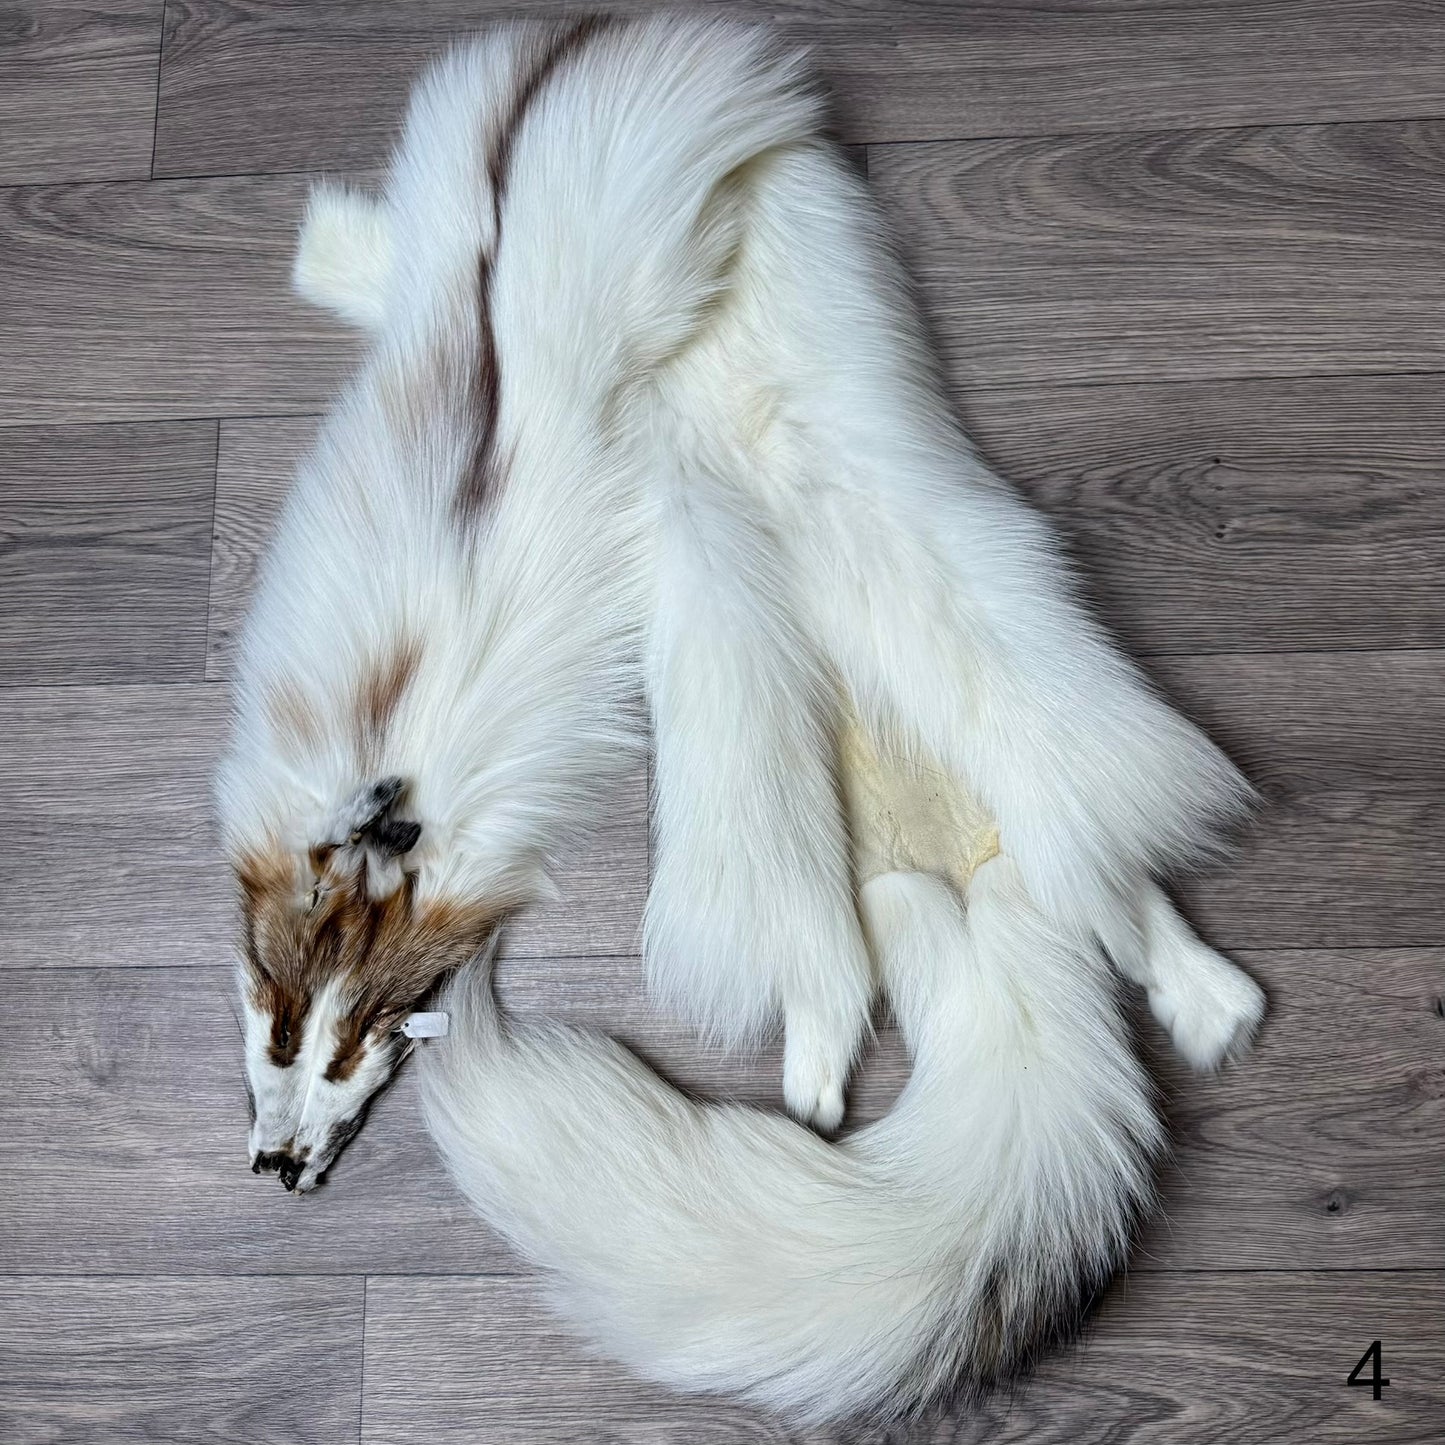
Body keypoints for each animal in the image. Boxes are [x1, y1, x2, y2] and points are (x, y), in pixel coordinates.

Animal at [217, 14, 1266, 1422]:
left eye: (357, 1042)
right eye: (278, 1024)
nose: (275, 1165)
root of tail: (963, 870)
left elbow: (351, 253)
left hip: (944, 695)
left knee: (1090, 885)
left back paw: (1191, 1004)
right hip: (817, 794)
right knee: (942, 942)